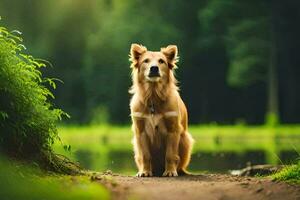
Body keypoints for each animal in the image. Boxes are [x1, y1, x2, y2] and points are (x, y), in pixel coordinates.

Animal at [127, 43, 193, 177]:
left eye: (161, 61)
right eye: (146, 61)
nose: (154, 68)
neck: (153, 96)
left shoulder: (173, 130)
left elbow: (170, 155)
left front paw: (170, 171)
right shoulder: (140, 131)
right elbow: (146, 155)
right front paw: (145, 172)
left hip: (185, 139)